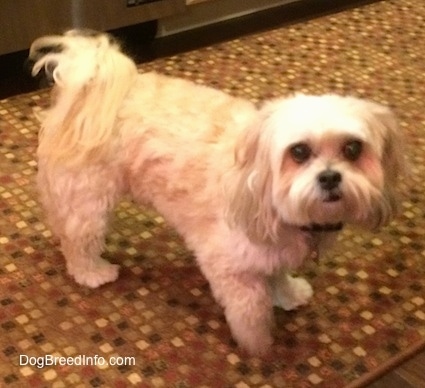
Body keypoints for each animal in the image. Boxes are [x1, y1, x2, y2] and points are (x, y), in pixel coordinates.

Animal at [27, 31, 404, 356]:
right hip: (89, 199)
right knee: (79, 241)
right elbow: (252, 307)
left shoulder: (272, 249)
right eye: (298, 152)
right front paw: (258, 343)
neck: (257, 183)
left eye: (353, 148)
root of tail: (87, 87)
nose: (330, 178)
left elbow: (278, 274)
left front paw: (288, 293)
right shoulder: (228, 265)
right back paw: (93, 272)